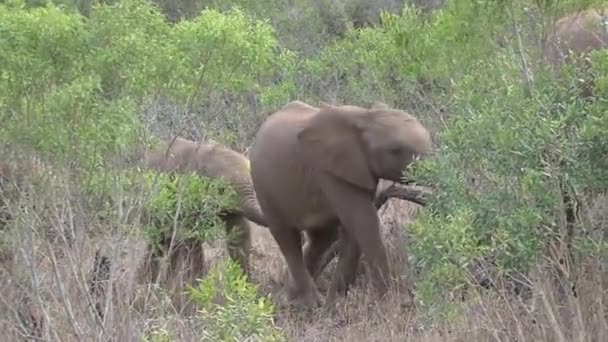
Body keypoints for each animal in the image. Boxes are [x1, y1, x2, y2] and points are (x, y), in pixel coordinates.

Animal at [249, 99, 434, 308]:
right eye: (395, 150)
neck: (365, 117)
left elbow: (355, 227)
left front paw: (337, 302)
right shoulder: (328, 171)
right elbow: (363, 220)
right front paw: (395, 302)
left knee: (322, 238)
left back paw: (292, 298)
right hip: (264, 188)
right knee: (287, 238)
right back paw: (309, 303)